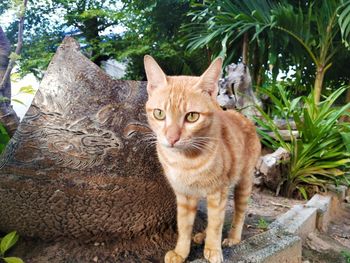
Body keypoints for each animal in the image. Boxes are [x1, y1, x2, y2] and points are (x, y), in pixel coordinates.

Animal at [144, 55, 262, 263]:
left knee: (239, 213)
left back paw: (233, 238)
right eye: (159, 113)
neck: (185, 160)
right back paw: (202, 235)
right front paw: (181, 252)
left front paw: (213, 249)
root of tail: (241, 115)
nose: (172, 138)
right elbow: (184, 226)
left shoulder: (218, 192)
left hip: (243, 183)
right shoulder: (184, 195)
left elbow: (216, 223)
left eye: (192, 116)